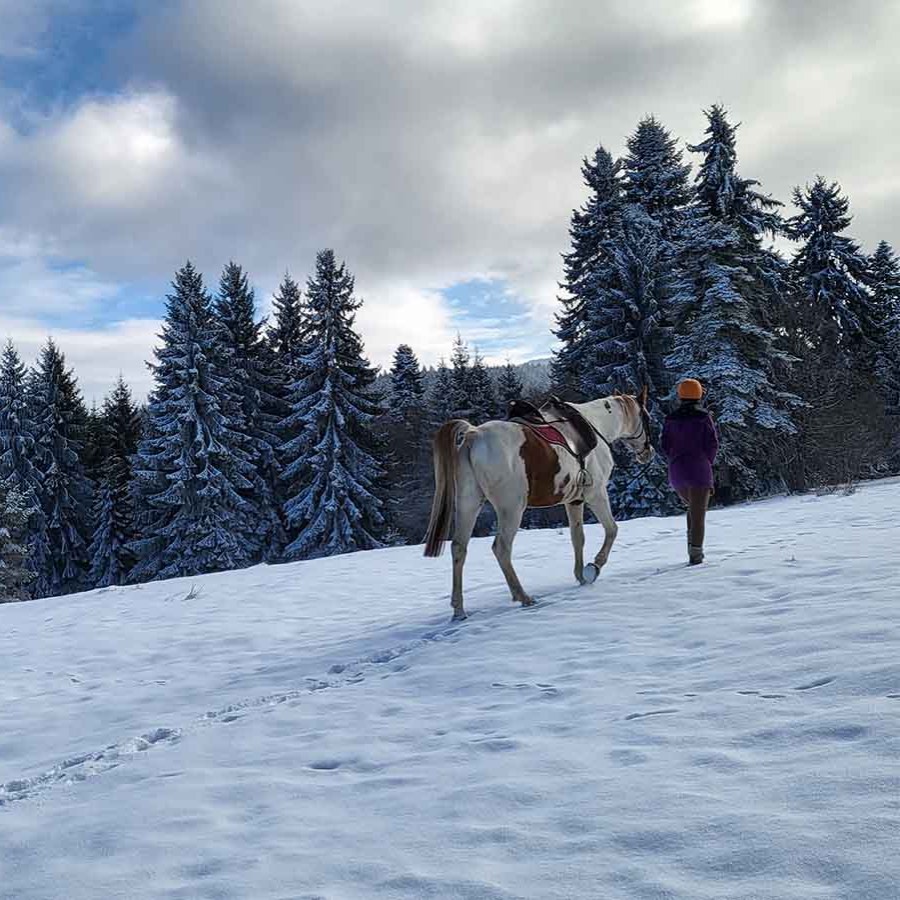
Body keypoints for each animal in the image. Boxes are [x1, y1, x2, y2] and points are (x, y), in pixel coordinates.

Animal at [422, 390, 652, 624]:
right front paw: (593, 568)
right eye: (647, 417)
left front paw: (580, 575)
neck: (595, 424)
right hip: (511, 509)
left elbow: (577, 538)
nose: (648, 452)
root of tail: (473, 434)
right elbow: (612, 530)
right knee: (501, 548)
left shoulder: (574, 501)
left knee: (459, 548)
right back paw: (523, 597)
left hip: (468, 503)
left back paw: (459, 610)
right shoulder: (596, 494)